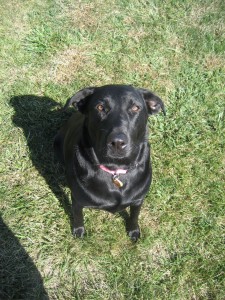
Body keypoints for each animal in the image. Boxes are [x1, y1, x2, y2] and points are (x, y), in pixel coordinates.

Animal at [53, 84, 164, 241]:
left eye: (135, 108)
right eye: (100, 107)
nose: (117, 142)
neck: (115, 169)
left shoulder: (138, 200)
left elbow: (134, 216)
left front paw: (133, 230)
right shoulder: (77, 200)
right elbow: (78, 215)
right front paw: (78, 230)